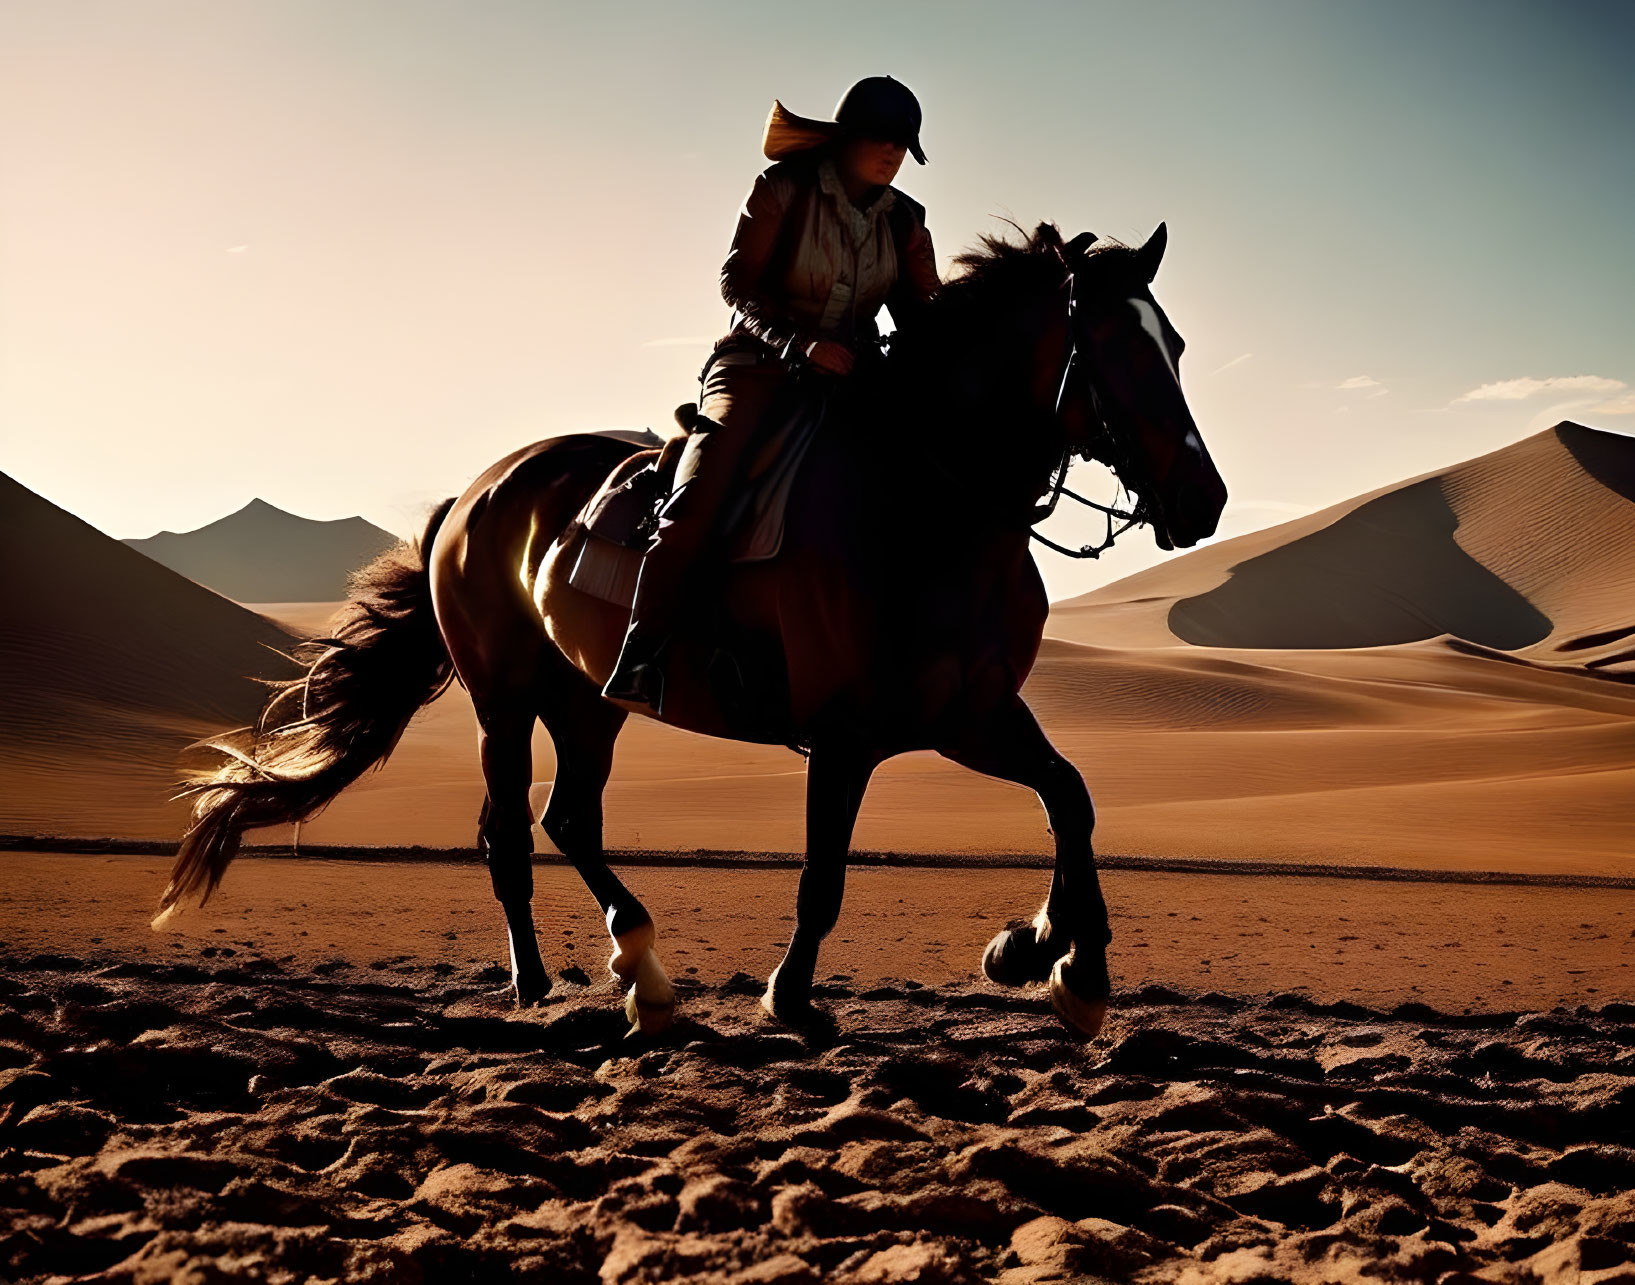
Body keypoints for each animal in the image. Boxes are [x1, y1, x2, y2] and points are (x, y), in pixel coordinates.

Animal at [156, 217, 1229, 1039]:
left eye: (1176, 345)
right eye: (1118, 350)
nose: (1204, 498)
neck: (928, 510)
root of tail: (472, 495)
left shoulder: (968, 715)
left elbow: (1071, 799)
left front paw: (1053, 960)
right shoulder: (845, 736)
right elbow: (822, 876)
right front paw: (792, 998)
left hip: (589, 699)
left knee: (567, 818)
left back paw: (639, 972)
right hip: (505, 698)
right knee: (511, 834)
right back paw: (554, 982)